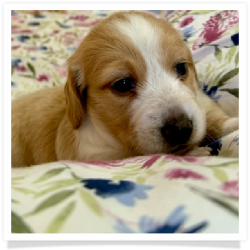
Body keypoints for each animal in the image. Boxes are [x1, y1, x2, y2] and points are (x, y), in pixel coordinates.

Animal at [11, 11, 238, 168]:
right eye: (122, 84)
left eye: (181, 68)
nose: (181, 129)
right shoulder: (95, 155)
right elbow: (142, 155)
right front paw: (195, 154)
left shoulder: (198, 102)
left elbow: (214, 117)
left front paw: (232, 124)